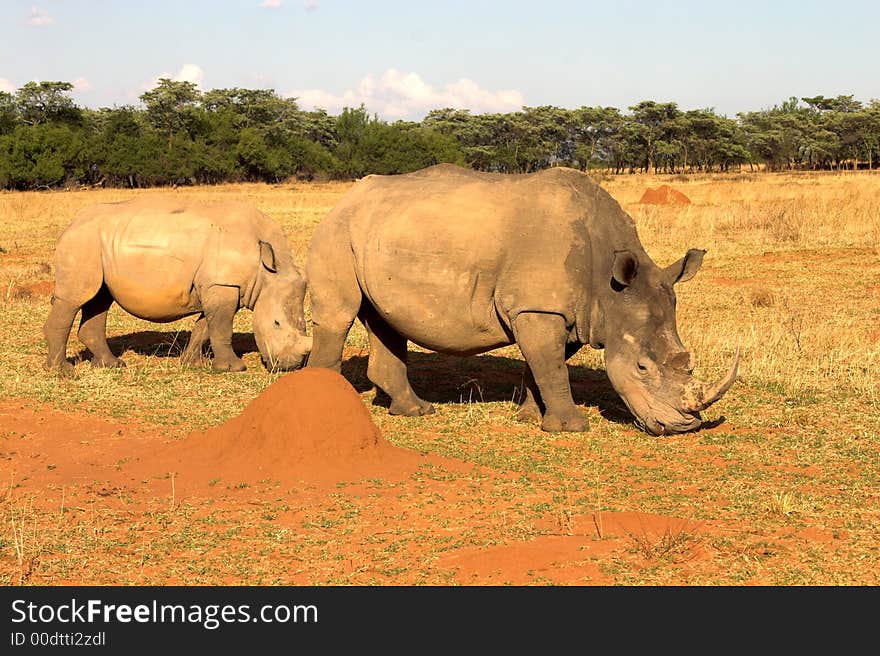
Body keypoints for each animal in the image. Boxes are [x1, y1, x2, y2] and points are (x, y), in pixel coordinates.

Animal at [44, 196, 314, 374]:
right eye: (276, 323)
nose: (289, 366)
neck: (268, 271)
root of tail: (72, 223)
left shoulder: (218, 287)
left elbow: (204, 328)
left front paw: (192, 364)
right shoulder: (223, 284)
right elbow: (222, 328)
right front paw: (233, 368)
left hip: (99, 244)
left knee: (99, 299)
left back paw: (112, 365)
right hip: (82, 241)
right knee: (74, 300)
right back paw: (62, 371)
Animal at [306, 163, 740, 436]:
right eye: (642, 367)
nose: (682, 427)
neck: (609, 289)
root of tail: (346, 196)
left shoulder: (568, 313)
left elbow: (543, 366)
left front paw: (530, 417)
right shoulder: (539, 307)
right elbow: (552, 368)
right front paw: (572, 428)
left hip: (380, 233)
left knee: (384, 321)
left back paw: (415, 410)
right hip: (337, 229)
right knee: (339, 316)